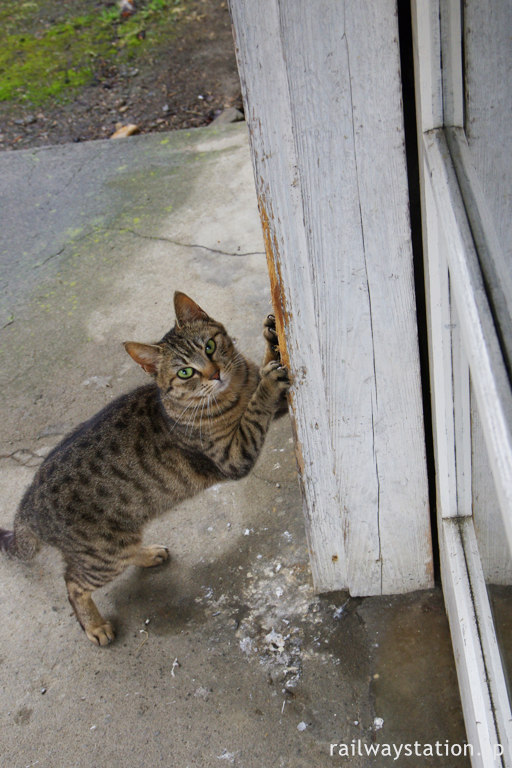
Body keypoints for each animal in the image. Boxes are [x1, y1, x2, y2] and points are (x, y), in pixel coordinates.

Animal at [0, 292, 288, 644]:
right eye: (185, 373)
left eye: (209, 346)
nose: (215, 373)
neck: (235, 388)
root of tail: (27, 505)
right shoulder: (234, 454)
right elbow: (256, 408)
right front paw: (267, 382)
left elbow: (262, 380)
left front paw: (272, 338)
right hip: (103, 553)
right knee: (72, 582)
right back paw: (94, 625)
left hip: (119, 540)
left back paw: (148, 554)